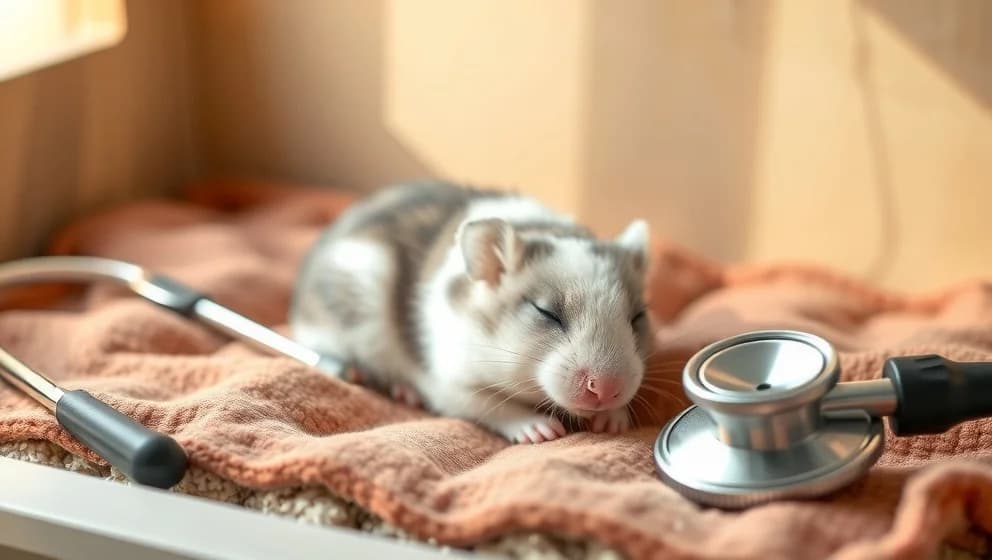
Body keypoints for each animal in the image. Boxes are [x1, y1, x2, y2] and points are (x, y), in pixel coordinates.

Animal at [290, 180, 654, 443]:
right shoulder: (447, 377)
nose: (605, 390)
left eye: (637, 317)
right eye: (547, 313)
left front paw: (612, 421)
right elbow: (484, 403)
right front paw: (541, 429)